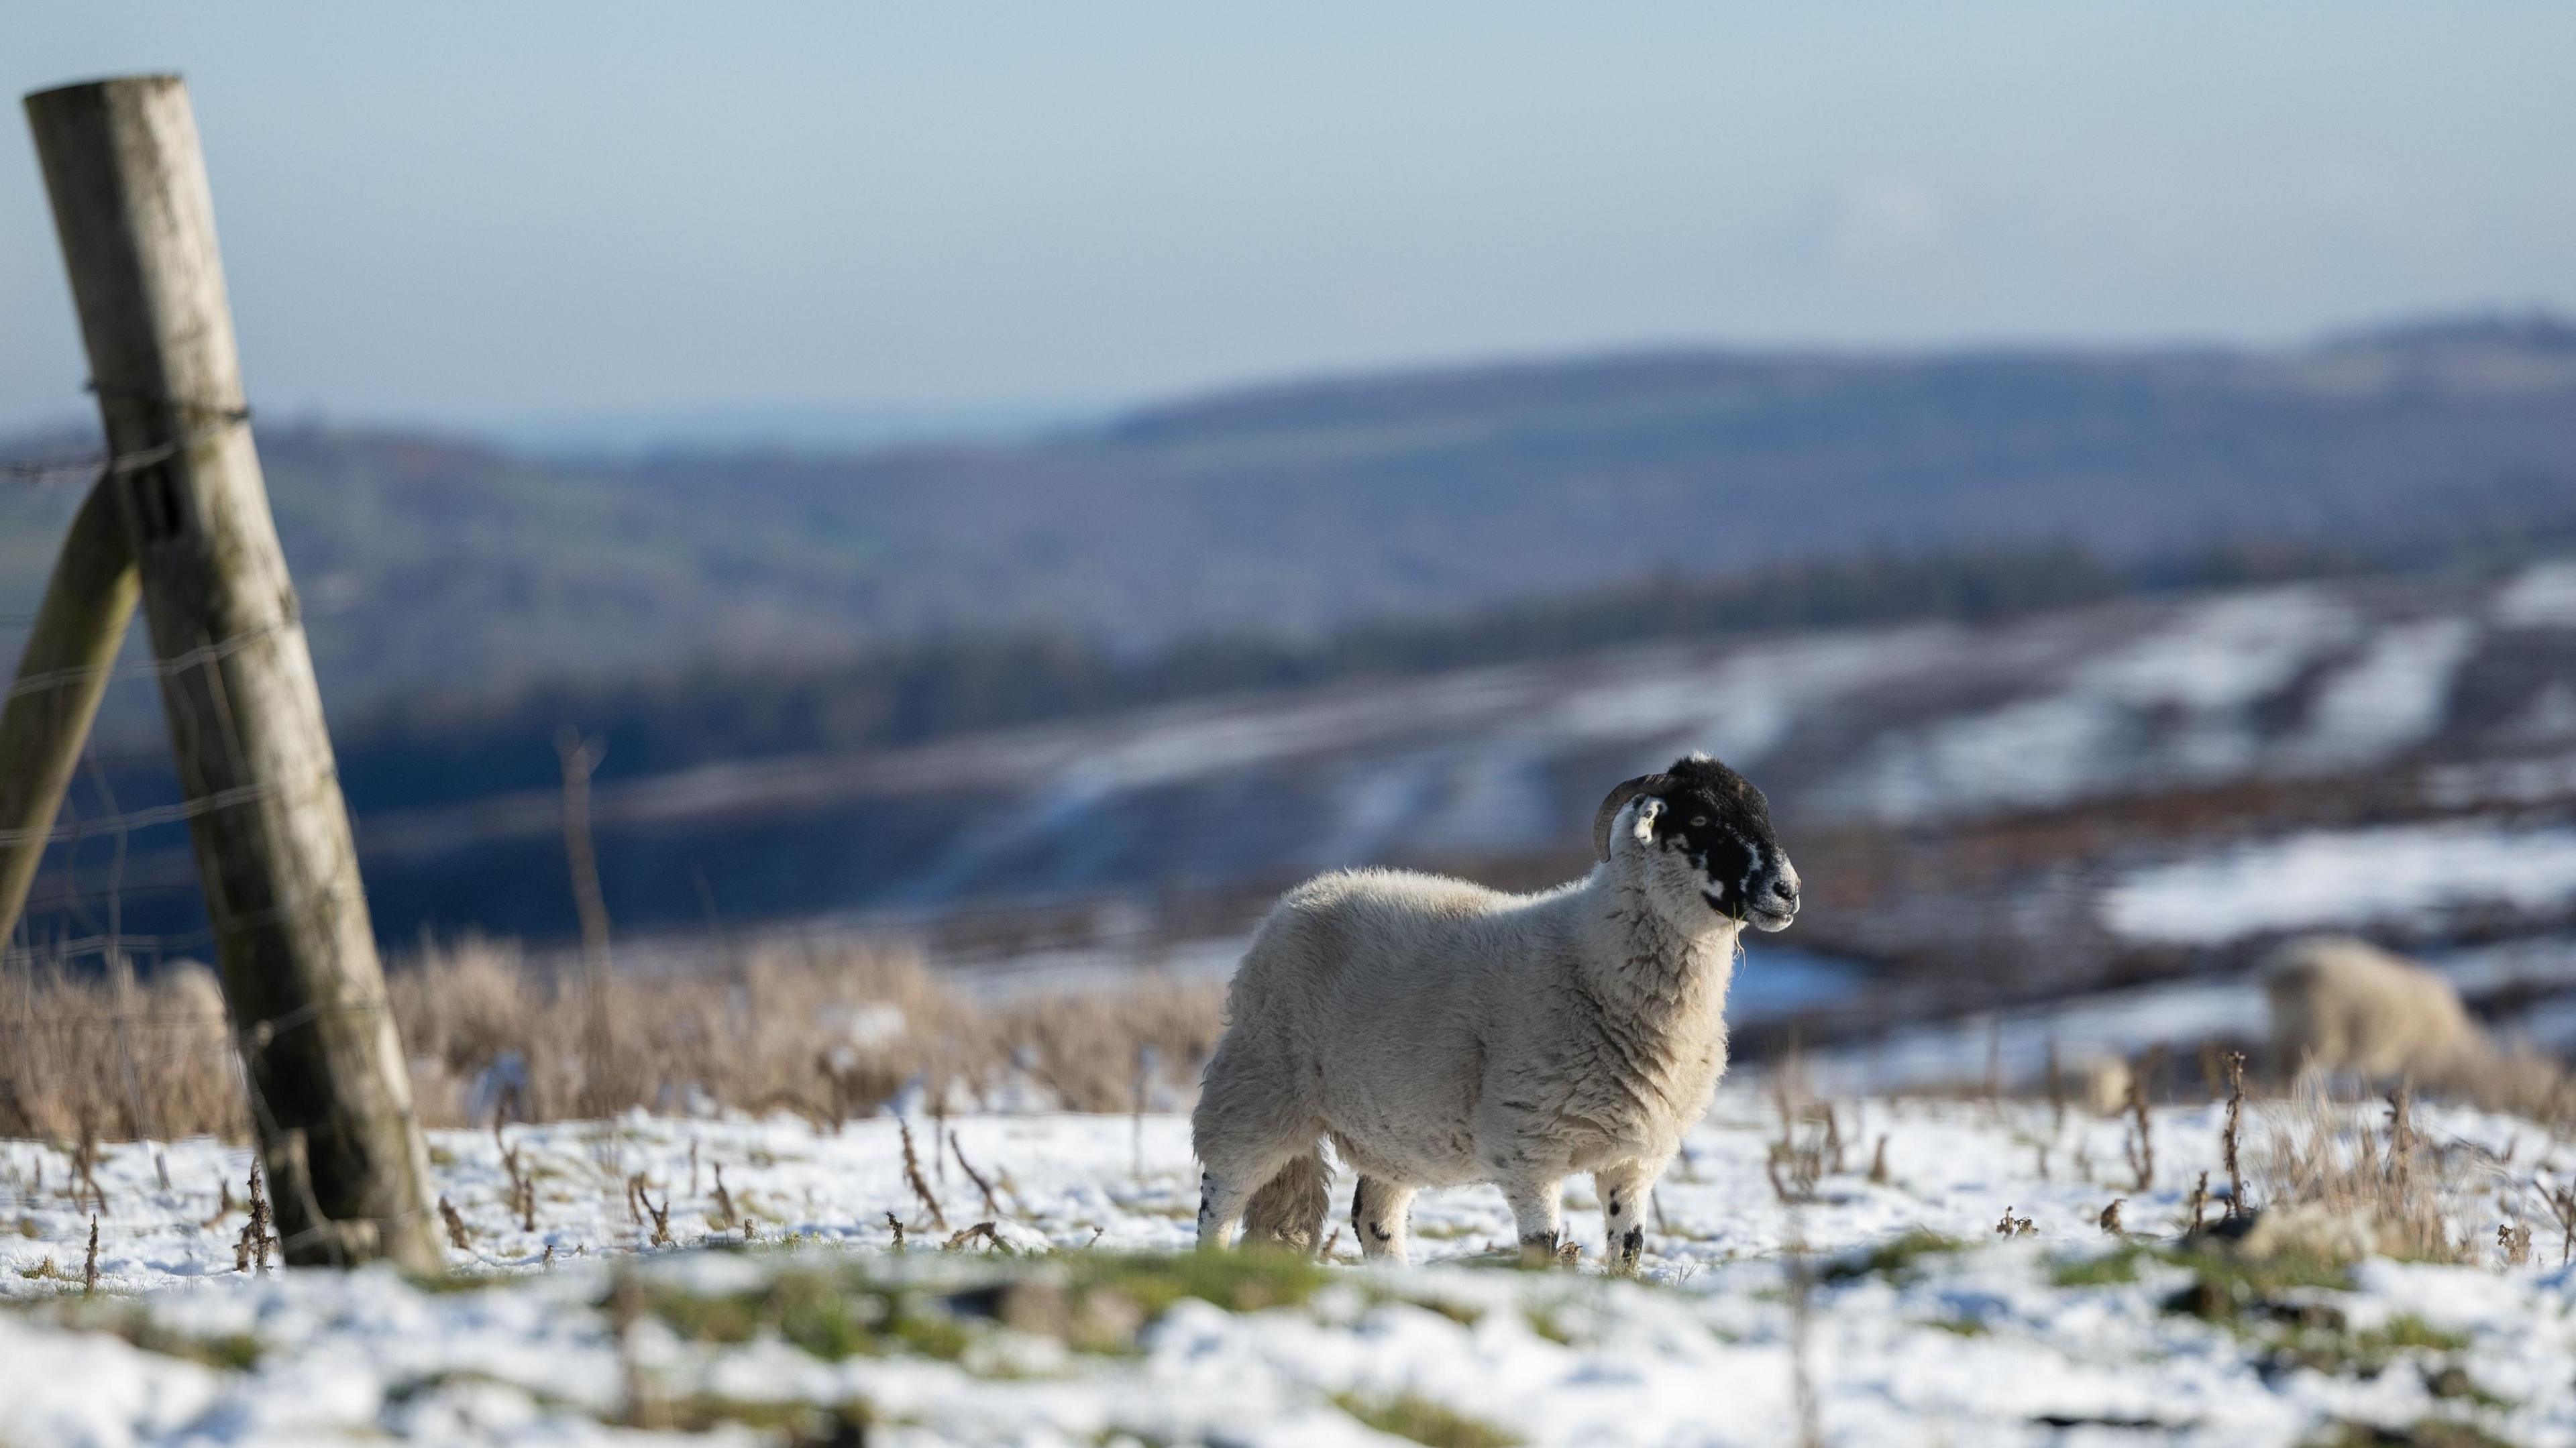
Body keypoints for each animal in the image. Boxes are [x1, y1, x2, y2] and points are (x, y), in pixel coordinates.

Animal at [1191, 752, 1800, 1269]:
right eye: (1700, 818)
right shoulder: (1528, 1145)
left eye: (1762, 813)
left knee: (1373, 1218)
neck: (1593, 958)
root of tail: (1307, 892)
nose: (1788, 891)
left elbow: (1628, 1250)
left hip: (1391, 1129)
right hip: (1257, 1090)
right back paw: (1209, 1266)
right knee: (1220, 1200)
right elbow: (1542, 1246)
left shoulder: (1635, 1159)